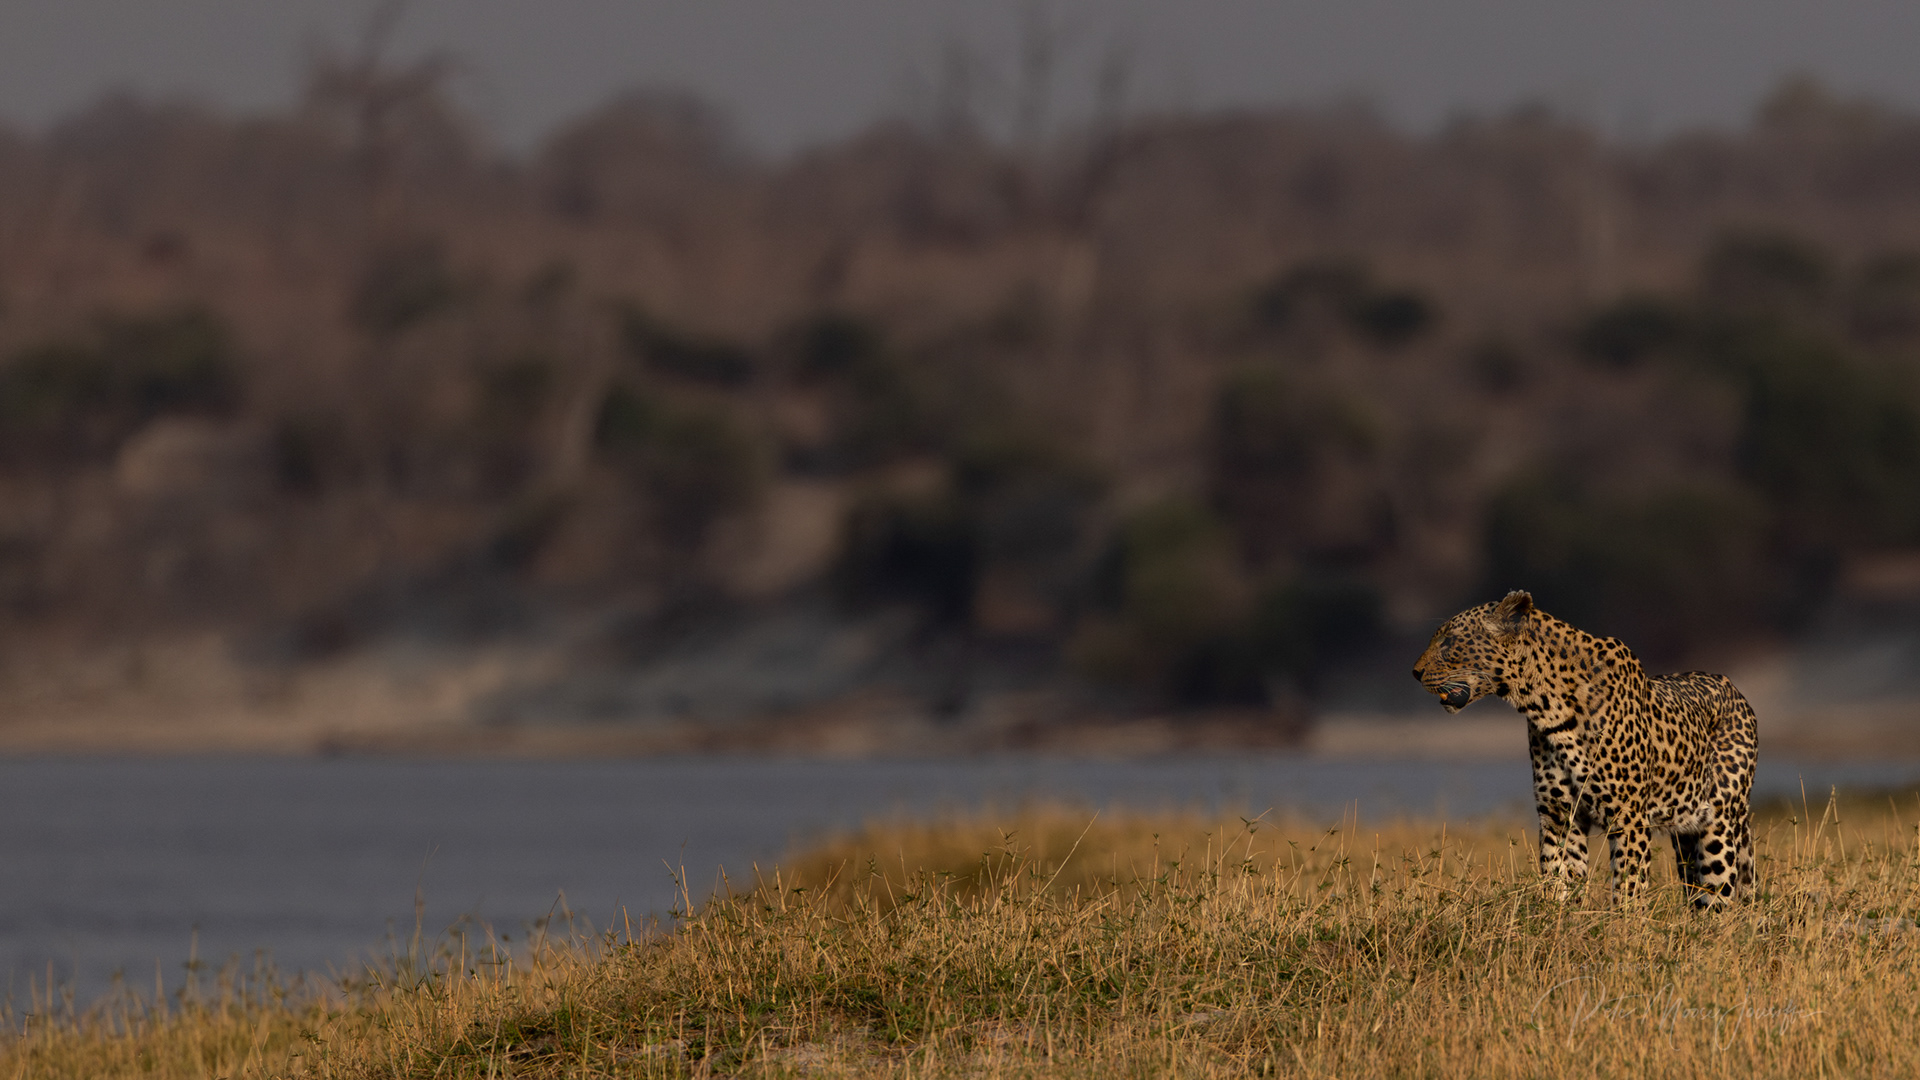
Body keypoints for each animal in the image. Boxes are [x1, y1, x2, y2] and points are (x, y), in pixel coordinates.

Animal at [1412, 590, 1757, 908]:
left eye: (1448, 641)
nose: (1414, 673)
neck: (1544, 706)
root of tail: (1736, 690)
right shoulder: (1558, 814)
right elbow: (1558, 878)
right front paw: (1557, 919)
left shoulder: (1629, 819)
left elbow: (1628, 890)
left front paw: (1623, 927)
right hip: (1684, 834)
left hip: (1719, 825)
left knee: (1719, 900)